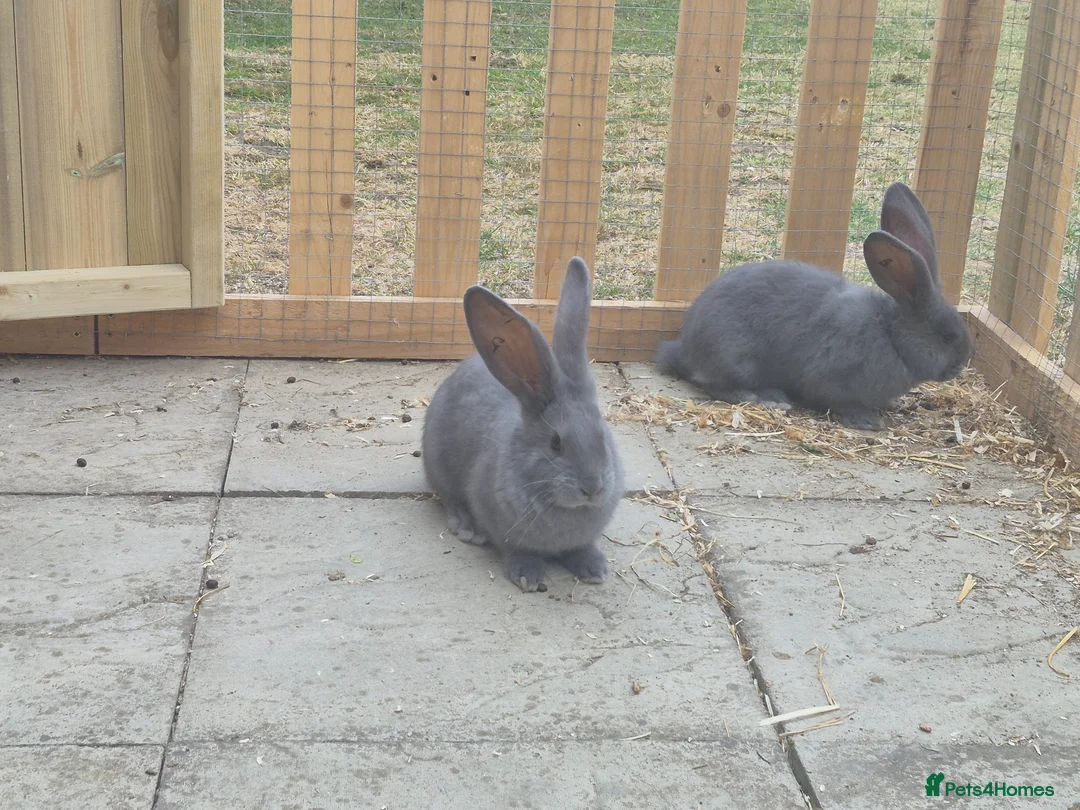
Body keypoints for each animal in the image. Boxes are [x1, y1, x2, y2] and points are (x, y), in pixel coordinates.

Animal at [422, 257, 624, 592]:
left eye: (604, 433)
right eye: (556, 443)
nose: (593, 488)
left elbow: (580, 548)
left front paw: (595, 569)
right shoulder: (502, 526)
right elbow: (516, 549)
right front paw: (529, 576)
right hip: (438, 464)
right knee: (449, 498)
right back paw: (466, 528)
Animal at [656, 182, 971, 430]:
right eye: (947, 336)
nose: (959, 365)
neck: (891, 335)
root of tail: (685, 349)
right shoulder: (833, 379)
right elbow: (838, 401)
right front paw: (867, 421)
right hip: (736, 357)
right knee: (717, 385)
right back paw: (769, 398)